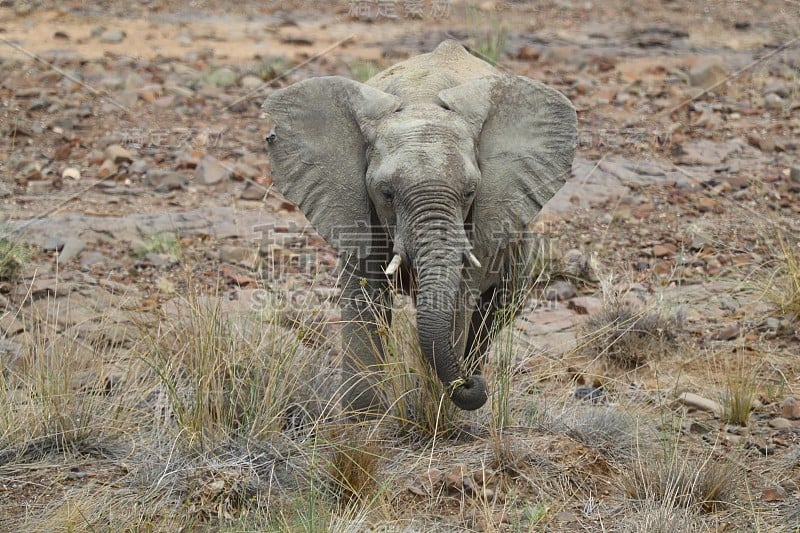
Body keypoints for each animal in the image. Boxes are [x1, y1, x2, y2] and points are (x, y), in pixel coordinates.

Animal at [266, 41, 580, 416]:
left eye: (470, 191)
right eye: (386, 193)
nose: (470, 383)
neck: (421, 97)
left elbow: (459, 303)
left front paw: (442, 411)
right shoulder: (355, 209)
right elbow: (364, 297)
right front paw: (364, 421)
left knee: (496, 311)